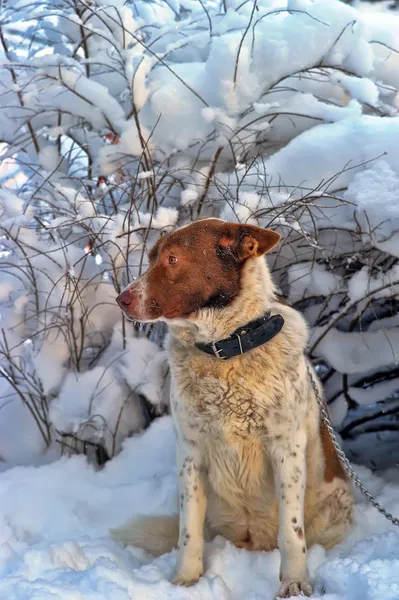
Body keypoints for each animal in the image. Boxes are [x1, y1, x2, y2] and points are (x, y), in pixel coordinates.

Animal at [113, 218, 354, 596]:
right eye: (151, 258)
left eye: (172, 259)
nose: (121, 299)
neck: (226, 348)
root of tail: (256, 540)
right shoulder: (190, 452)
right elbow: (188, 530)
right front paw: (185, 580)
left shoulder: (286, 449)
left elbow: (292, 531)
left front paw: (295, 582)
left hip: (334, 508)